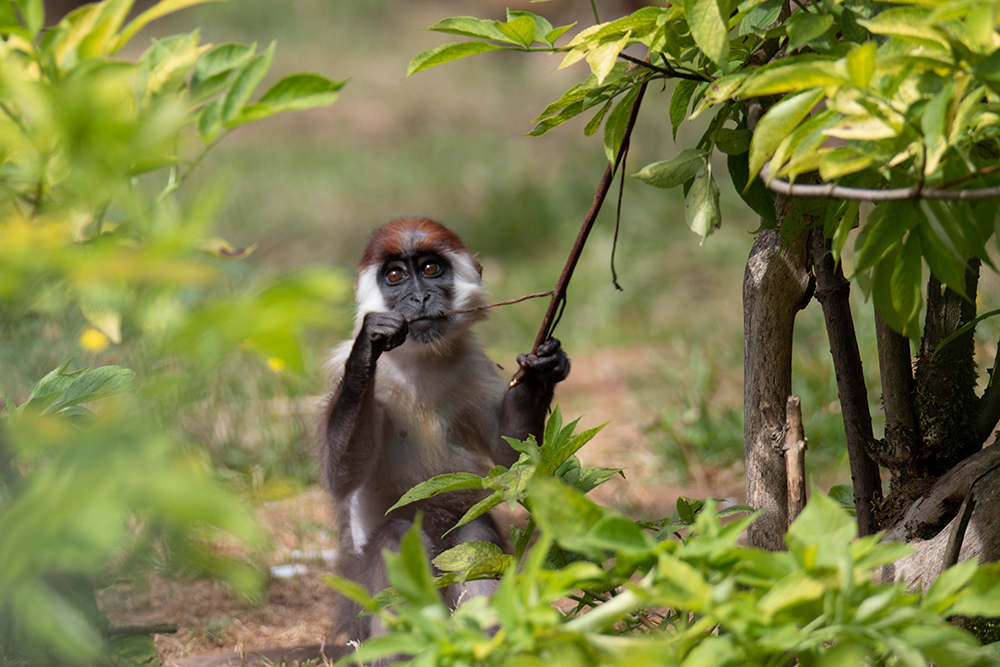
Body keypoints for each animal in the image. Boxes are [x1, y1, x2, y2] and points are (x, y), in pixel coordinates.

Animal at [322, 219, 572, 648]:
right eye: (394, 276)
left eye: (430, 269)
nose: (419, 297)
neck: (420, 361)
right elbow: (339, 479)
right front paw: (367, 348)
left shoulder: (475, 366)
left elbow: (513, 460)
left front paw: (541, 369)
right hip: (358, 601)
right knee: (395, 537)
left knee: (475, 532)